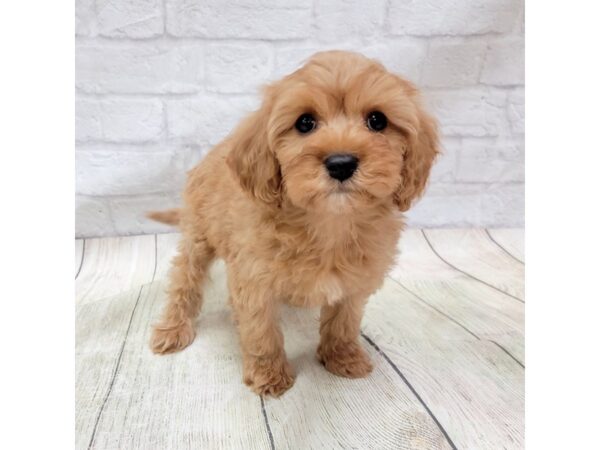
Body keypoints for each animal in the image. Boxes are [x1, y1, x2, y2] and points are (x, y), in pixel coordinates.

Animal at [150, 50, 438, 398]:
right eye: (305, 123)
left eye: (377, 120)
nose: (341, 163)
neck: (328, 223)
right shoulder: (254, 281)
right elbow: (261, 332)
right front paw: (269, 374)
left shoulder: (354, 282)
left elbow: (344, 322)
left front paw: (343, 358)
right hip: (198, 236)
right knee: (185, 281)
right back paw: (173, 328)